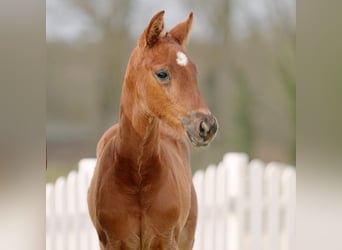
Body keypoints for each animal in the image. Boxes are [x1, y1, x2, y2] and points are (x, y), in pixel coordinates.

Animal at [87, 10, 218, 249]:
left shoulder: (164, 240)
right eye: (162, 73)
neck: (138, 176)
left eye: (195, 72)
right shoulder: (115, 242)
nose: (207, 125)